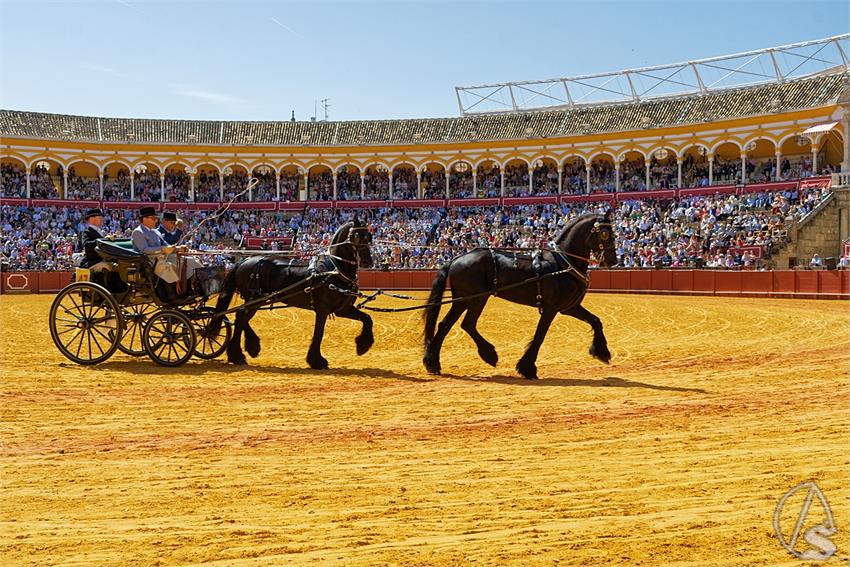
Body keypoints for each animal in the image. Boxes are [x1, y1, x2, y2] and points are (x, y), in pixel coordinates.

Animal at [214, 220, 372, 370]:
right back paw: (239, 354)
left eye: (369, 236)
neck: (333, 270)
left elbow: (367, 319)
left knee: (240, 318)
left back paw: (248, 348)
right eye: (356, 236)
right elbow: (319, 333)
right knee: (241, 317)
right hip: (254, 299)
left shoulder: (342, 309)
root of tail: (244, 260)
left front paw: (363, 346)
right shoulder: (323, 308)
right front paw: (317, 361)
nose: (367, 262)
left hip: (255, 300)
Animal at [422, 211, 616, 380]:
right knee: (460, 324)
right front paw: (527, 368)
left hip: (468, 300)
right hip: (474, 299)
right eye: (605, 233)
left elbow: (596, 321)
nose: (613, 261)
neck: (562, 263)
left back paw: (440, 362)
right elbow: (539, 336)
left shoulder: (569, 307)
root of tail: (455, 259)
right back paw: (480, 356)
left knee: (453, 324)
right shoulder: (551, 308)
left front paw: (602, 352)